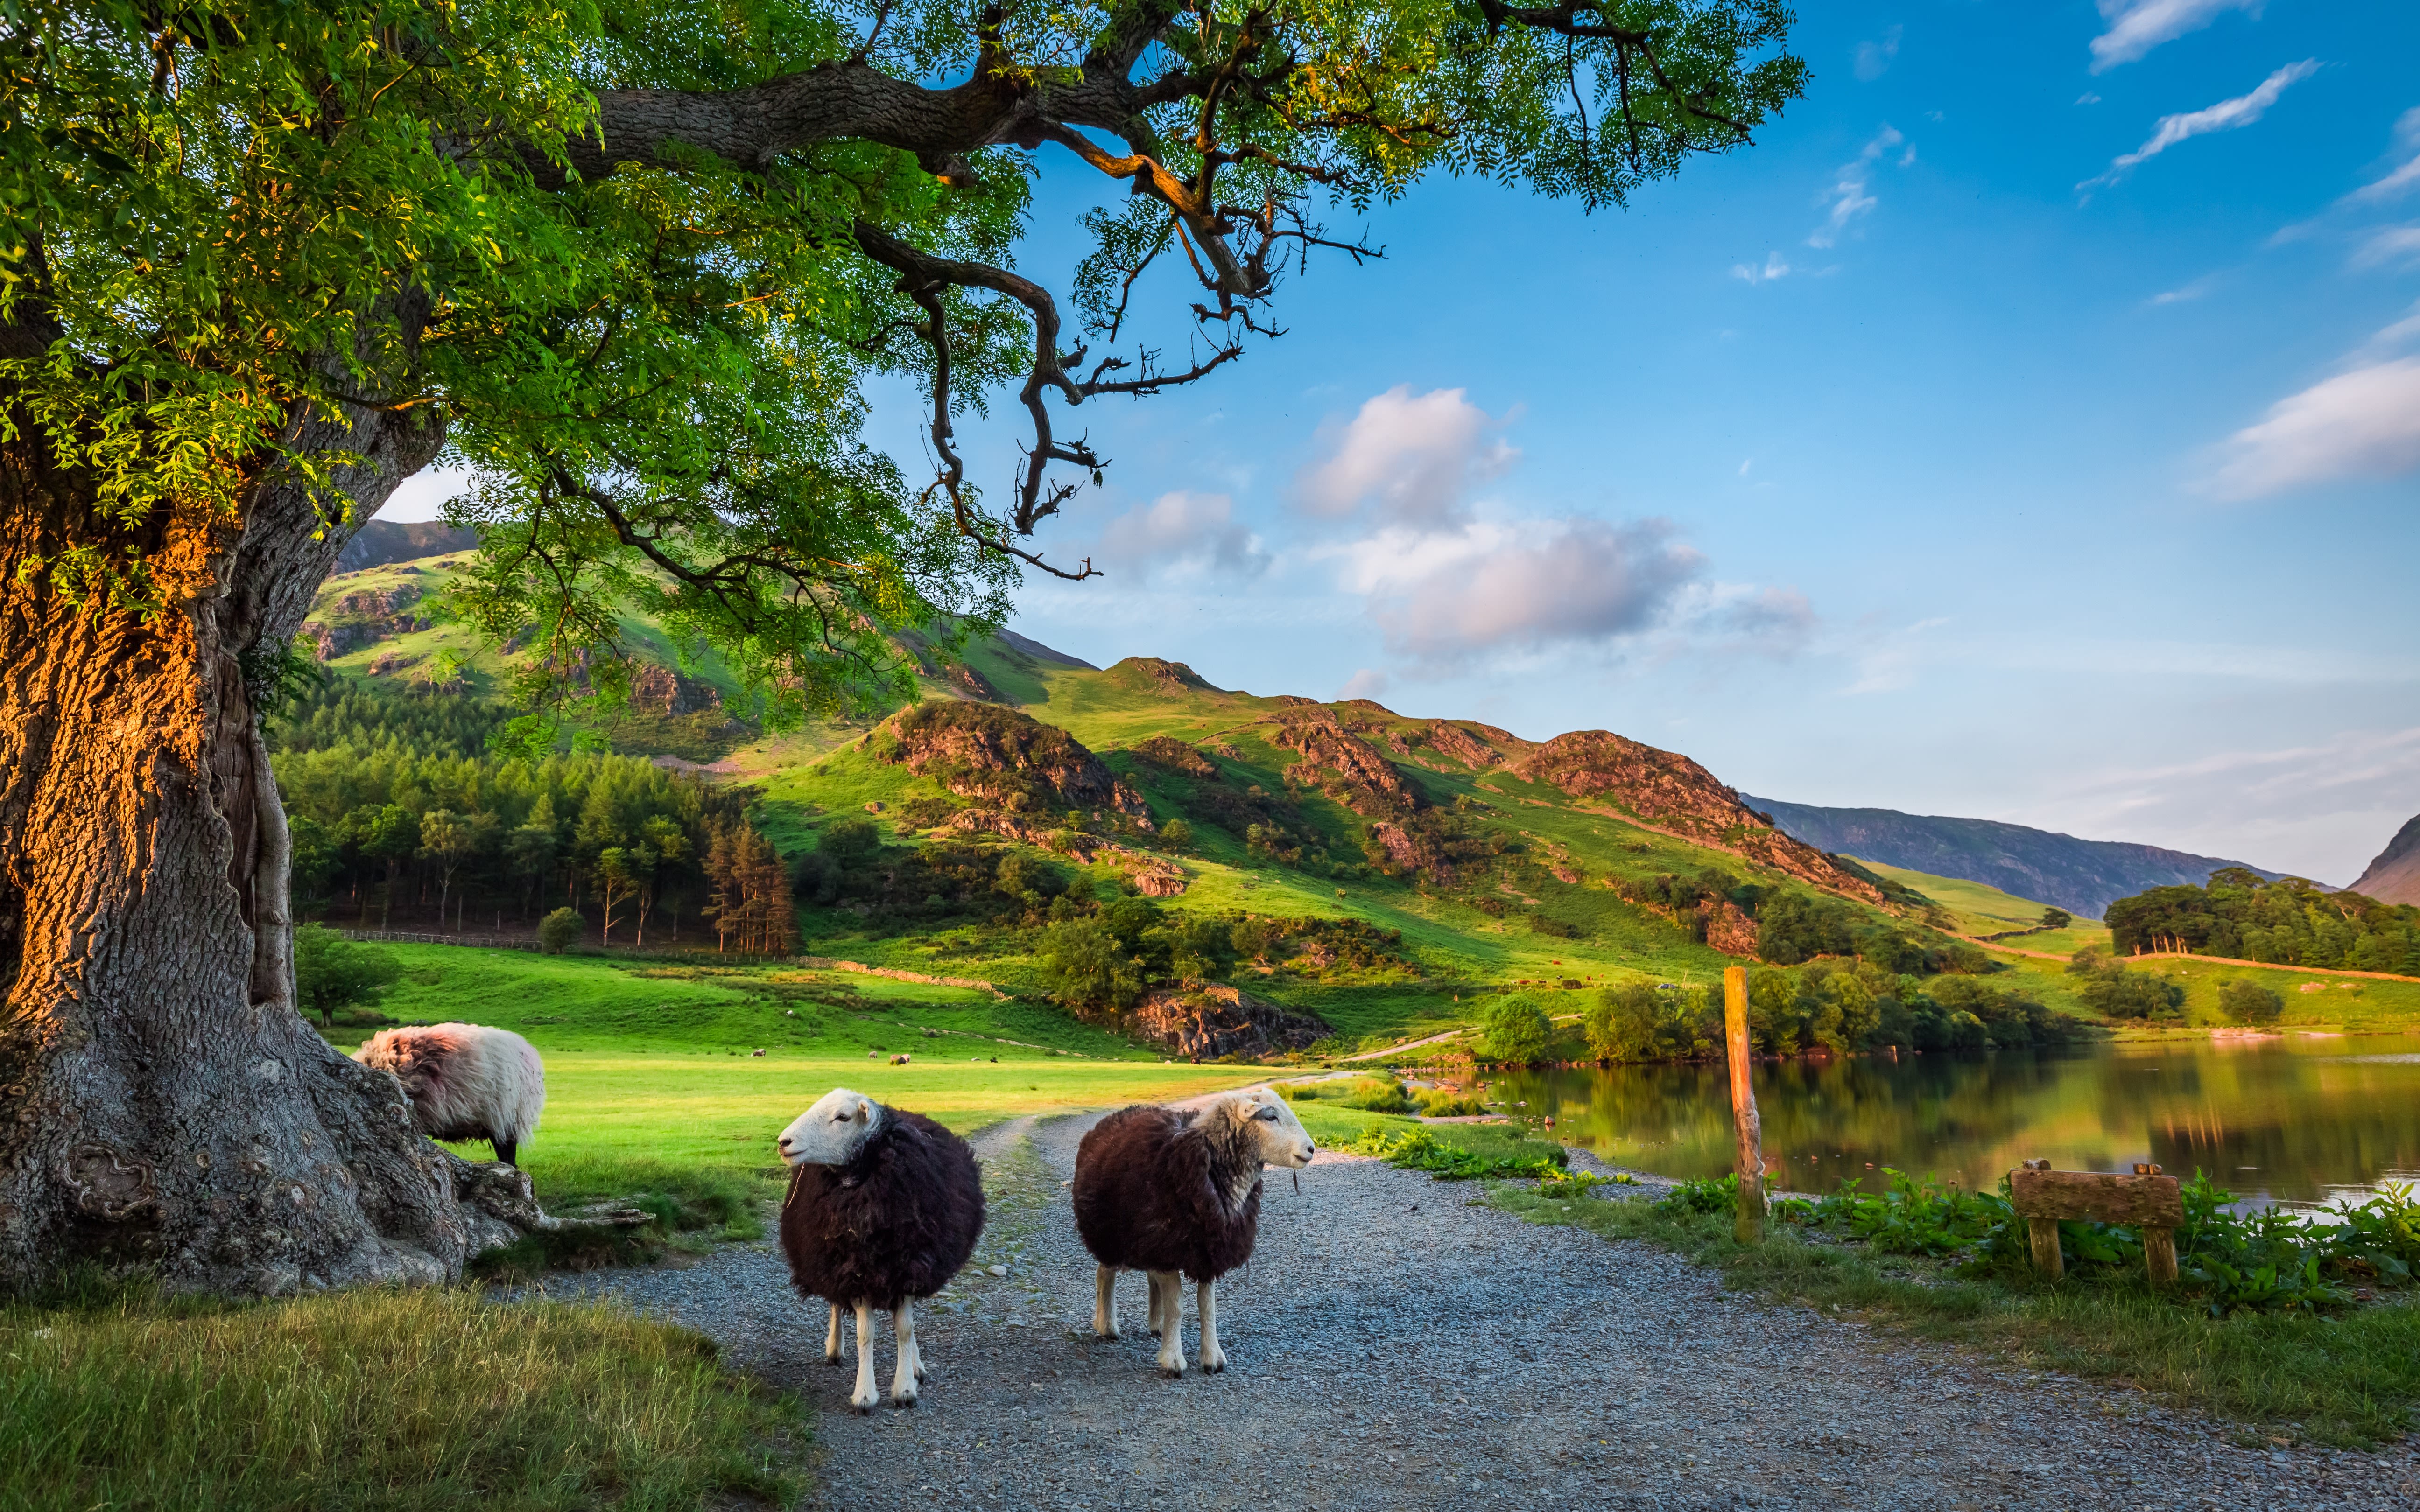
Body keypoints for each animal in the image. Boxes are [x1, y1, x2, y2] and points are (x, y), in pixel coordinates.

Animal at [774, 1088, 982, 1413]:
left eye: (843, 1117)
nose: (784, 1142)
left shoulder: (911, 1267)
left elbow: (905, 1329)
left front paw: (905, 1389)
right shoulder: (854, 1270)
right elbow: (865, 1334)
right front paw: (865, 1394)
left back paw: (915, 1366)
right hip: (831, 1263)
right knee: (835, 1304)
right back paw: (835, 1348)